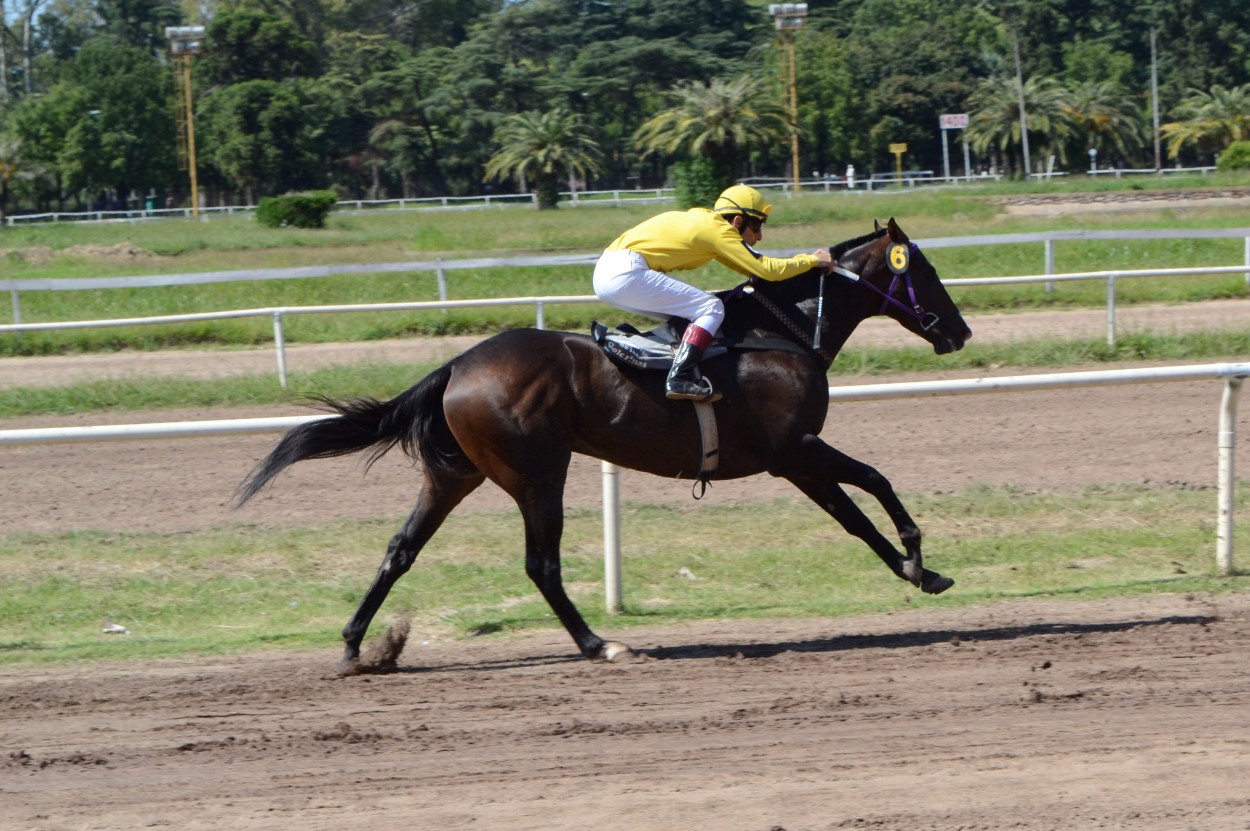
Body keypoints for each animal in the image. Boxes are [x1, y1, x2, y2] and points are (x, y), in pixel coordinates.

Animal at [236, 217, 975, 669]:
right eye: (925, 270)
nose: (960, 330)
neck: (783, 330)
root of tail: (458, 365)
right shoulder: (793, 448)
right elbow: (873, 483)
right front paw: (919, 560)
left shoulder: (793, 458)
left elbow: (854, 516)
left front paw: (919, 569)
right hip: (538, 472)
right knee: (541, 563)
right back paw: (598, 642)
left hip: (455, 474)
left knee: (400, 549)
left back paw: (357, 647)